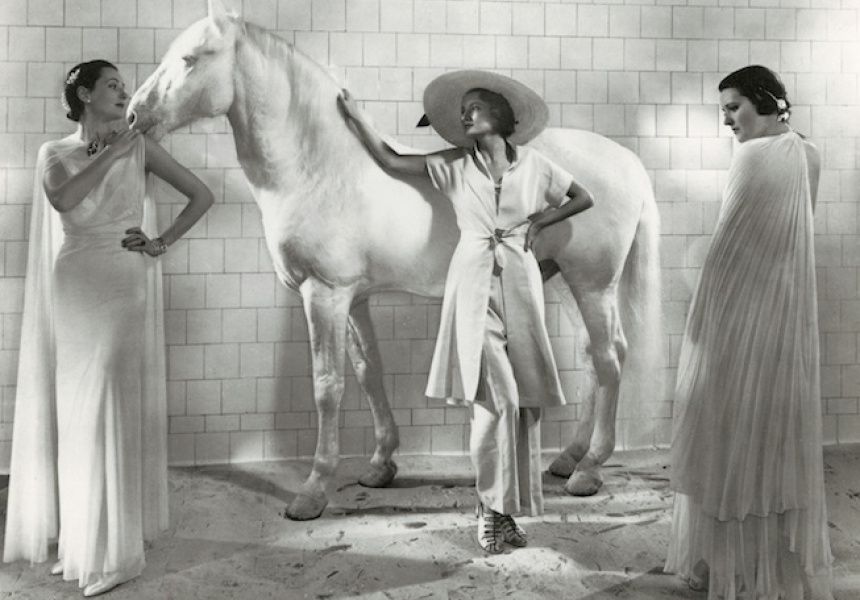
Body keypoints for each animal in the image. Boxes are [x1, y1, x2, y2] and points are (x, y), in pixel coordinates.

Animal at [128, 0, 663, 521]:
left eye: (191, 58)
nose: (134, 116)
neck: (322, 169)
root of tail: (628, 162)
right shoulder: (354, 298)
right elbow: (369, 373)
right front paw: (381, 464)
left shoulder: (323, 294)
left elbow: (328, 385)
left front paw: (313, 491)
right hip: (564, 282)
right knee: (595, 357)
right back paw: (568, 457)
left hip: (592, 284)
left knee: (610, 359)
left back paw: (589, 470)